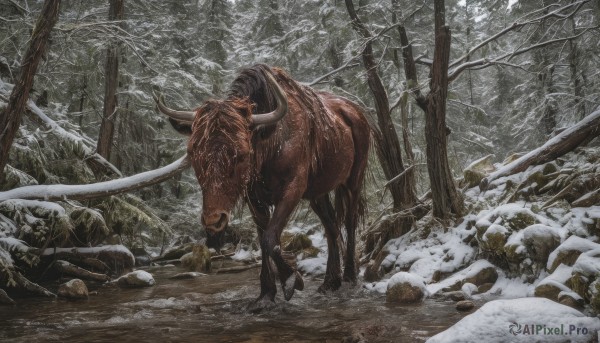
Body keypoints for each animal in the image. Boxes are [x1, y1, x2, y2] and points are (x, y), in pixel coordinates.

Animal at [155, 63, 370, 312]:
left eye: (241, 154)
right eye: (193, 152)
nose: (213, 219)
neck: (270, 141)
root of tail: (358, 113)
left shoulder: (292, 190)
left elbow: (269, 238)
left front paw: (292, 280)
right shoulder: (255, 198)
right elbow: (263, 239)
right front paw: (266, 294)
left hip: (353, 181)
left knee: (350, 222)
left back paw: (350, 277)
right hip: (319, 193)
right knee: (331, 226)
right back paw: (329, 282)